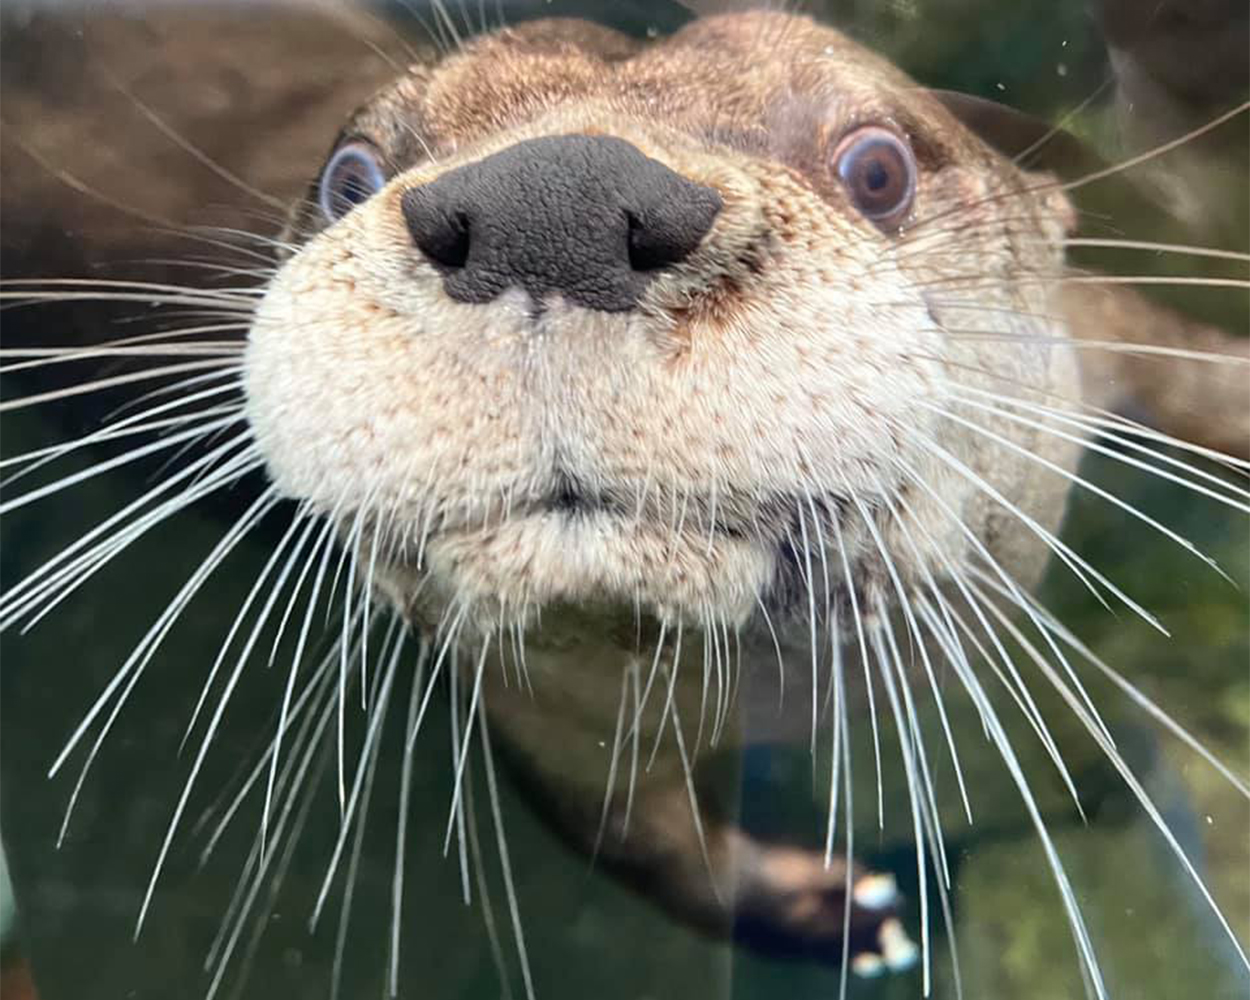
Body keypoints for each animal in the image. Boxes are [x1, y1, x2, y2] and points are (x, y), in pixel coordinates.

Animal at [2, 3, 1250, 995]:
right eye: (347, 176)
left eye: (877, 169)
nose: (548, 200)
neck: (784, 707)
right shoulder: (536, 712)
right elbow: (637, 846)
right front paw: (851, 919)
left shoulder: (1096, 336)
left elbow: (1192, 365)